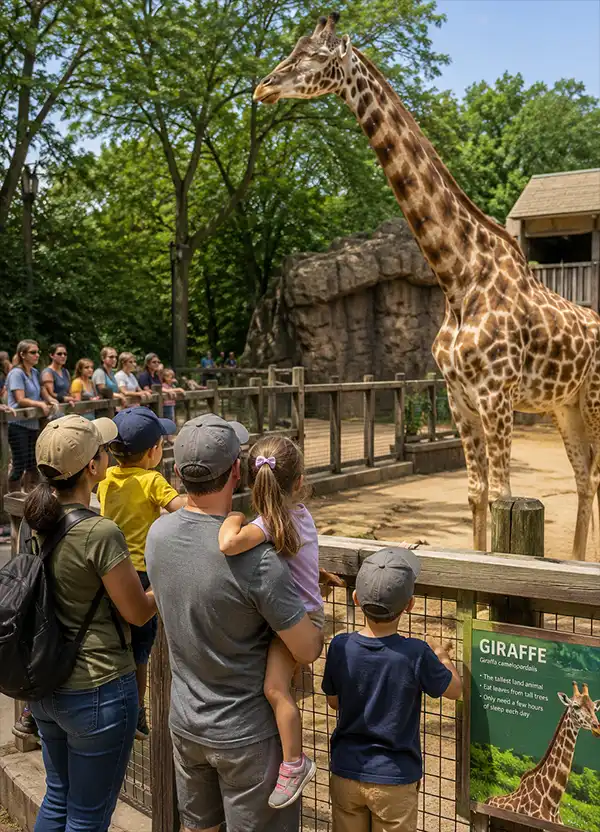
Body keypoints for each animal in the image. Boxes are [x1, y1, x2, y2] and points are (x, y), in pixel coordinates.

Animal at [254, 13, 600, 560]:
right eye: (294, 47)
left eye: (314, 55)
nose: (262, 86)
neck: (459, 277)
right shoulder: (460, 397)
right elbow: (477, 493)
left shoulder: (497, 395)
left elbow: (502, 495)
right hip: (563, 405)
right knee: (584, 479)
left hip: (592, 400)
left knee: (594, 478)